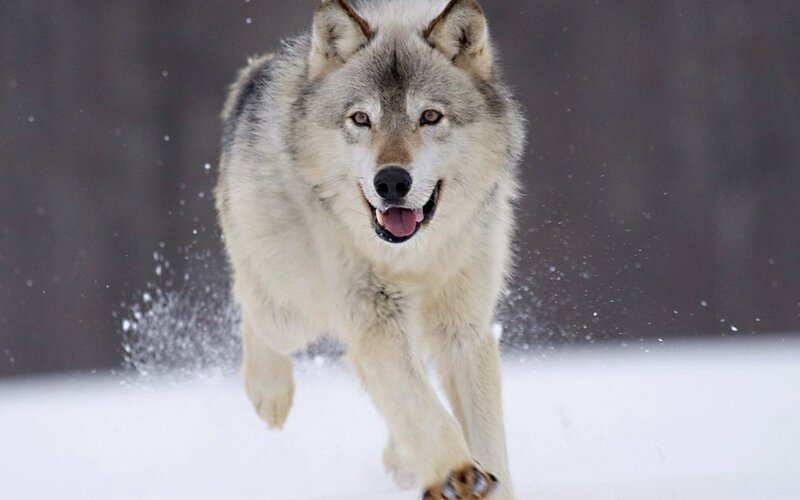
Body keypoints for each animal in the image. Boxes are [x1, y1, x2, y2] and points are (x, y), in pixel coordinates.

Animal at [215, 0, 525, 497]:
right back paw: (270, 395)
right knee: (252, 307)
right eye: (361, 119)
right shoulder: (374, 317)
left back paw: (403, 461)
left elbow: (484, 433)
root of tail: (253, 74)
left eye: (430, 117)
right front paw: (455, 471)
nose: (392, 181)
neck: (414, 258)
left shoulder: (464, 328)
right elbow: (422, 407)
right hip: (292, 311)